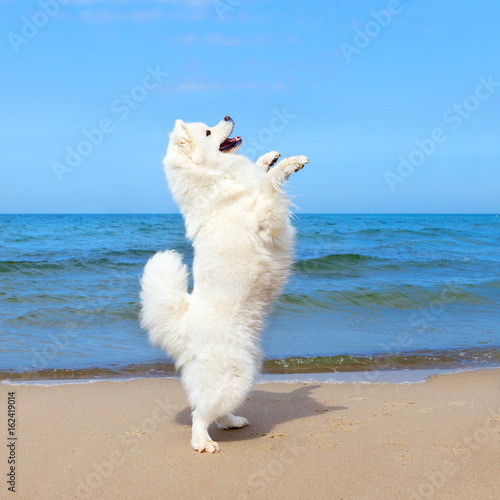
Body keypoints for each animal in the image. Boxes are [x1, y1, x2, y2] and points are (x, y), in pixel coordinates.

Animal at [139, 116, 306, 454]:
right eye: (207, 131)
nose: (228, 117)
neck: (216, 178)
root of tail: (184, 327)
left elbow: (262, 174)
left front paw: (269, 158)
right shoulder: (264, 215)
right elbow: (270, 185)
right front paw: (290, 164)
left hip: (248, 369)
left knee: (213, 409)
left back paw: (232, 421)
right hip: (234, 373)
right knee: (200, 414)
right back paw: (203, 442)